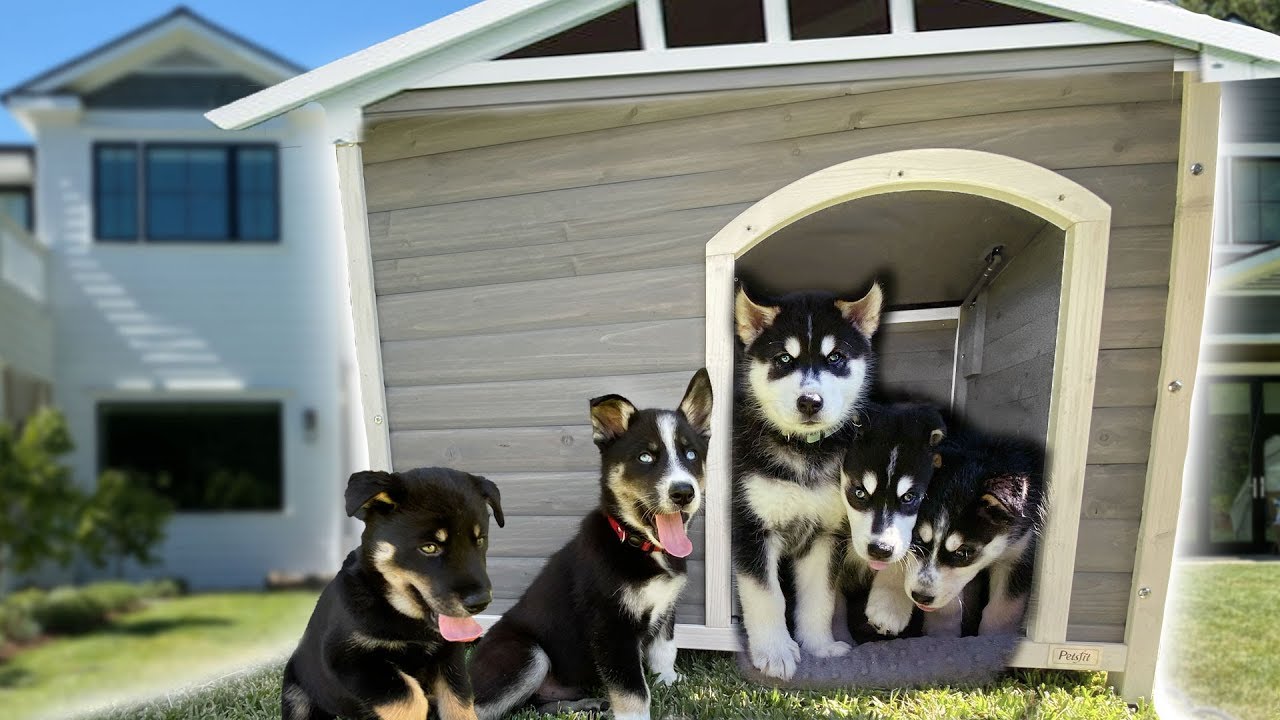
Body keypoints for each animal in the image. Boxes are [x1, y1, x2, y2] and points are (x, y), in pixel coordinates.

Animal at [282, 466, 501, 717]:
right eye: (429, 547)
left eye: (480, 540)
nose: (481, 603)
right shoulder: (350, 661)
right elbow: (409, 698)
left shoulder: (450, 656)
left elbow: (459, 702)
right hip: (296, 692)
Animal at [468, 368, 716, 717]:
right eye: (645, 457)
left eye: (691, 453)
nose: (684, 492)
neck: (636, 544)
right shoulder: (612, 629)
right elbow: (633, 692)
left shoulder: (667, 608)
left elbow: (665, 649)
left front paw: (668, 680)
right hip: (529, 655)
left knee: (539, 704)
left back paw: (588, 704)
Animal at [732, 281, 880, 676]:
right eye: (785, 359)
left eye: (835, 358)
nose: (810, 401)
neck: (804, 451)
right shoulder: (751, 528)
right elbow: (766, 596)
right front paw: (775, 652)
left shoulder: (827, 535)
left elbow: (819, 599)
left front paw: (819, 646)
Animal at [901, 425, 1039, 632]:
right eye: (916, 539)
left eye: (964, 552)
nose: (921, 596)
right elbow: (949, 606)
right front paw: (941, 632)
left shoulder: (1018, 554)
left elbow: (1002, 611)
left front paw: (992, 635)